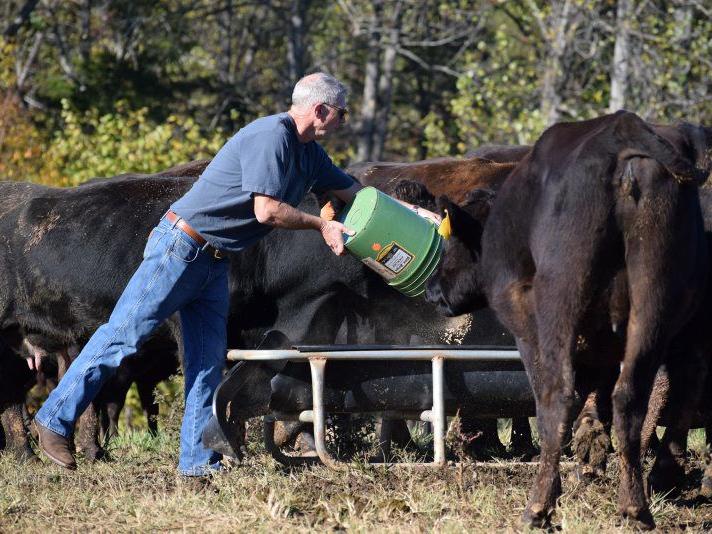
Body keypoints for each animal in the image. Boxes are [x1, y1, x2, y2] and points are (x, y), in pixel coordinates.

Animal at [425, 110, 709, 528]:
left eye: (450, 243)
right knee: (635, 396)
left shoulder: (529, 328)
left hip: (560, 301)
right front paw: (590, 459)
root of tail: (622, 133)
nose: (432, 289)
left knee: (558, 397)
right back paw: (638, 505)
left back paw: (538, 508)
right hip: (657, 306)